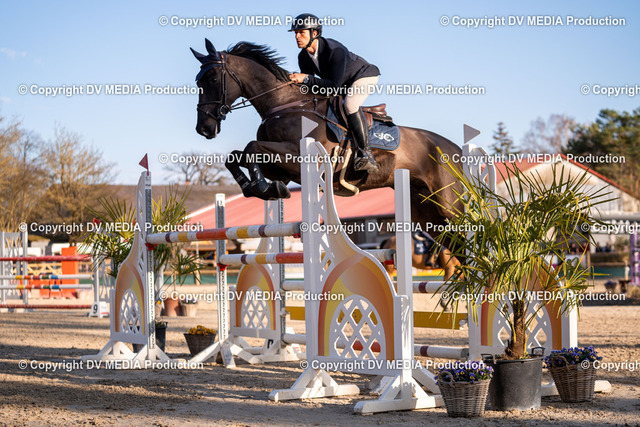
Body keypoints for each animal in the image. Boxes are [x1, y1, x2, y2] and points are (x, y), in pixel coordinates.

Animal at [191, 40, 463, 275]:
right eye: (197, 81)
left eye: (212, 78)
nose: (203, 129)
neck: (284, 104)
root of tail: (457, 151)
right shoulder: (280, 169)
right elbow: (236, 157)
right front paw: (260, 188)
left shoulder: (296, 157)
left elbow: (251, 147)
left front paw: (261, 187)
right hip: (427, 214)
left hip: (450, 209)